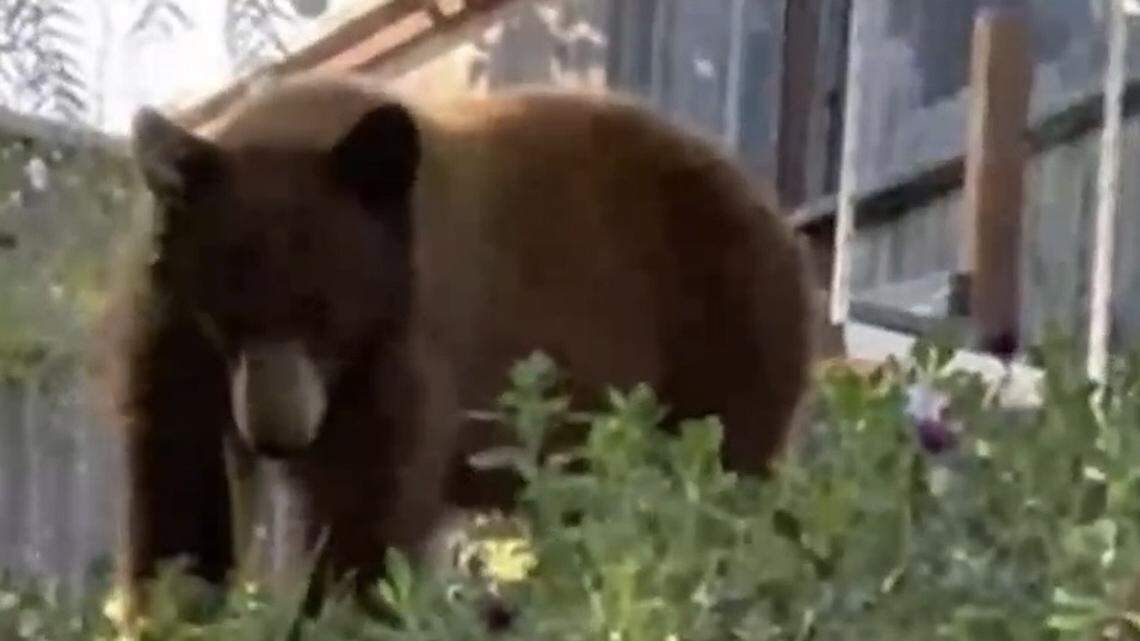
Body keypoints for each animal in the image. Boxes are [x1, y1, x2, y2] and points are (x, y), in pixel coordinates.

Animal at [95, 71, 816, 622]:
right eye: (227, 316)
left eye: (325, 313)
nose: (277, 434)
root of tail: (778, 220)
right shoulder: (173, 337)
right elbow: (177, 482)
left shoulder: (405, 340)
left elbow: (372, 502)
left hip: (725, 332)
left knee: (720, 483)